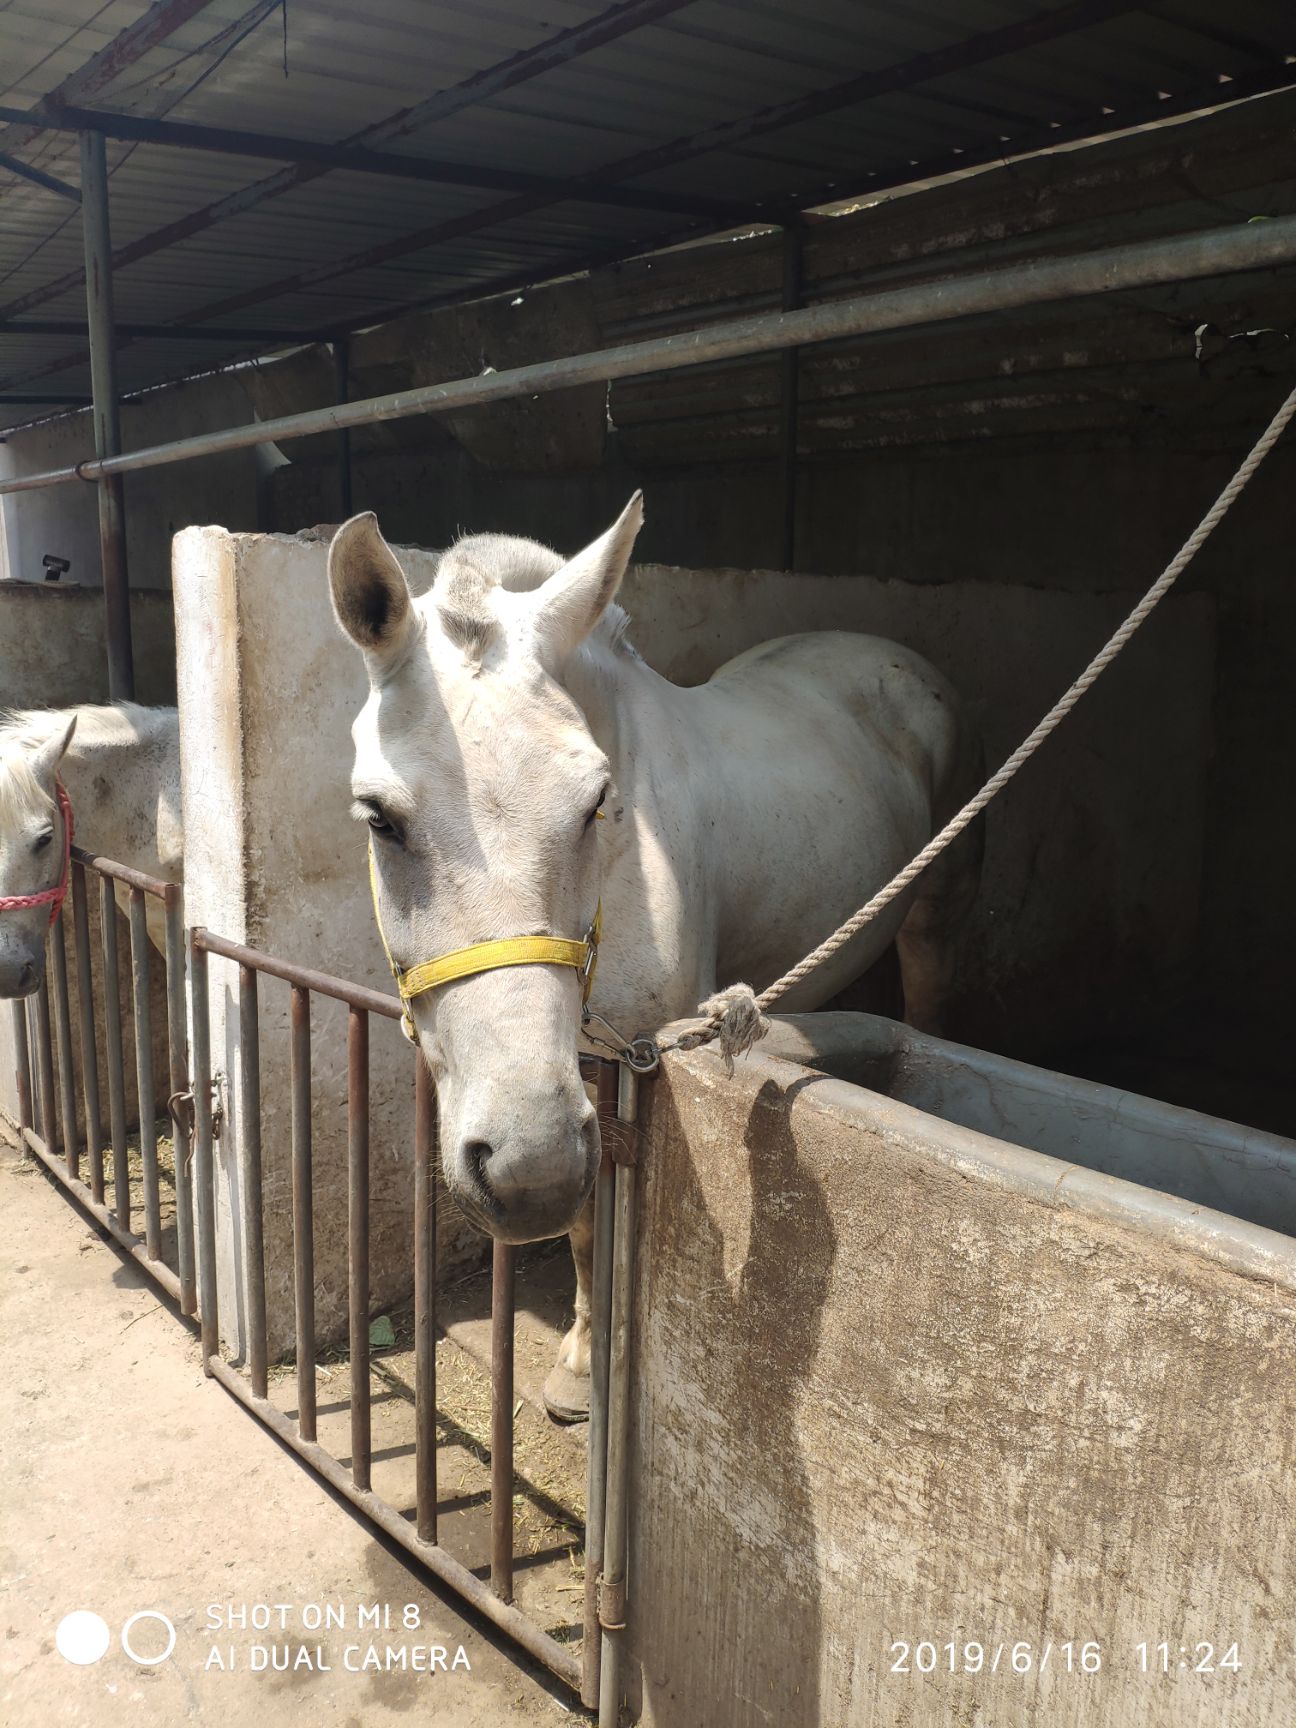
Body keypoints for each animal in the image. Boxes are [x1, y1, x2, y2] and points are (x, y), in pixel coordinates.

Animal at [328, 495, 980, 1420]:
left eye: (597, 801)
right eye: (379, 818)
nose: (522, 1175)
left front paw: (592, 1364)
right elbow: (582, 1220)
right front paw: (578, 1362)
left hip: (941, 903)